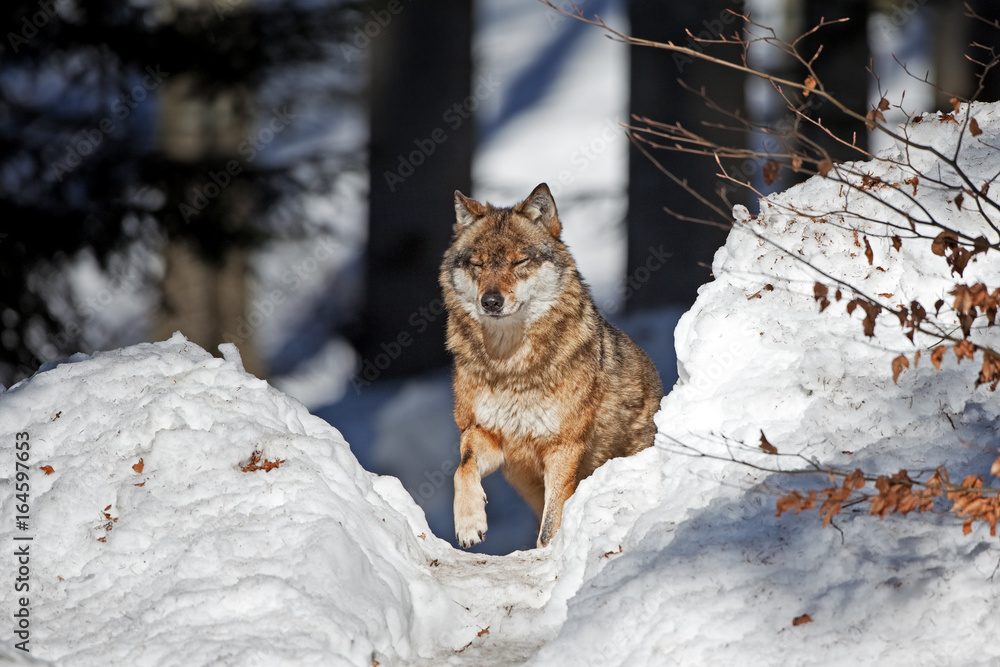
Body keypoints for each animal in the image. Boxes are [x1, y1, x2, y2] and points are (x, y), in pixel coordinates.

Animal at [440, 183, 663, 549]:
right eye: (478, 264)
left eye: (519, 261)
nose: (490, 301)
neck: (510, 366)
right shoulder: (484, 433)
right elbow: (463, 468)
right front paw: (469, 523)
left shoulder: (563, 447)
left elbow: (551, 522)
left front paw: (547, 554)